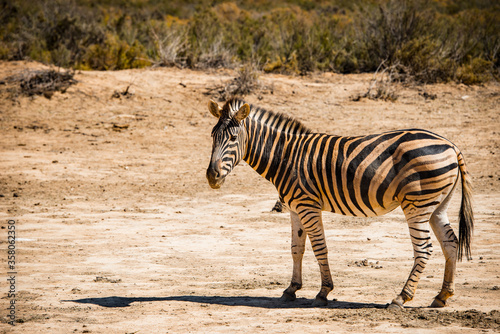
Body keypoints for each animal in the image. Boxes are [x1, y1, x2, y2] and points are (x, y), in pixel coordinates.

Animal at [205, 98, 474, 310]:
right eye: (212, 136)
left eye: (233, 138)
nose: (211, 177)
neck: (285, 156)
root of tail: (452, 145)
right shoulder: (294, 208)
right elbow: (296, 248)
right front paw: (291, 289)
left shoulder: (308, 206)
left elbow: (319, 248)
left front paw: (323, 292)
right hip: (437, 205)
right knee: (451, 243)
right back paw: (442, 296)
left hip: (417, 204)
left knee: (424, 249)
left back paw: (400, 298)